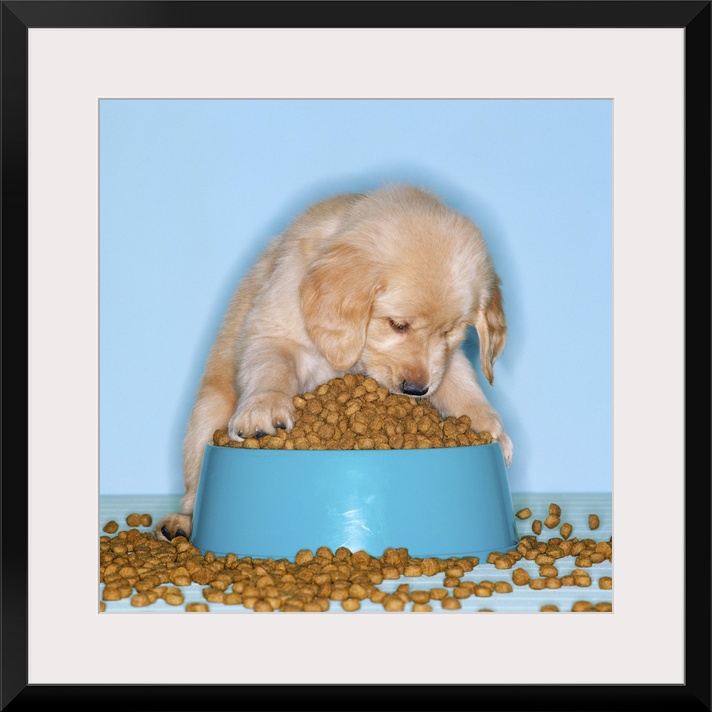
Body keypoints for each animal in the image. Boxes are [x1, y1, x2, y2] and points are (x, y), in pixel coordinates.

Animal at [155, 184, 512, 541]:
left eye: (451, 330)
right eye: (397, 324)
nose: (415, 389)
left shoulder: (444, 360)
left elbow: (460, 383)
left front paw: (492, 429)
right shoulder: (274, 329)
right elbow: (271, 365)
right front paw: (264, 409)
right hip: (205, 416)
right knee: (193, 491)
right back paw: (179, 524)